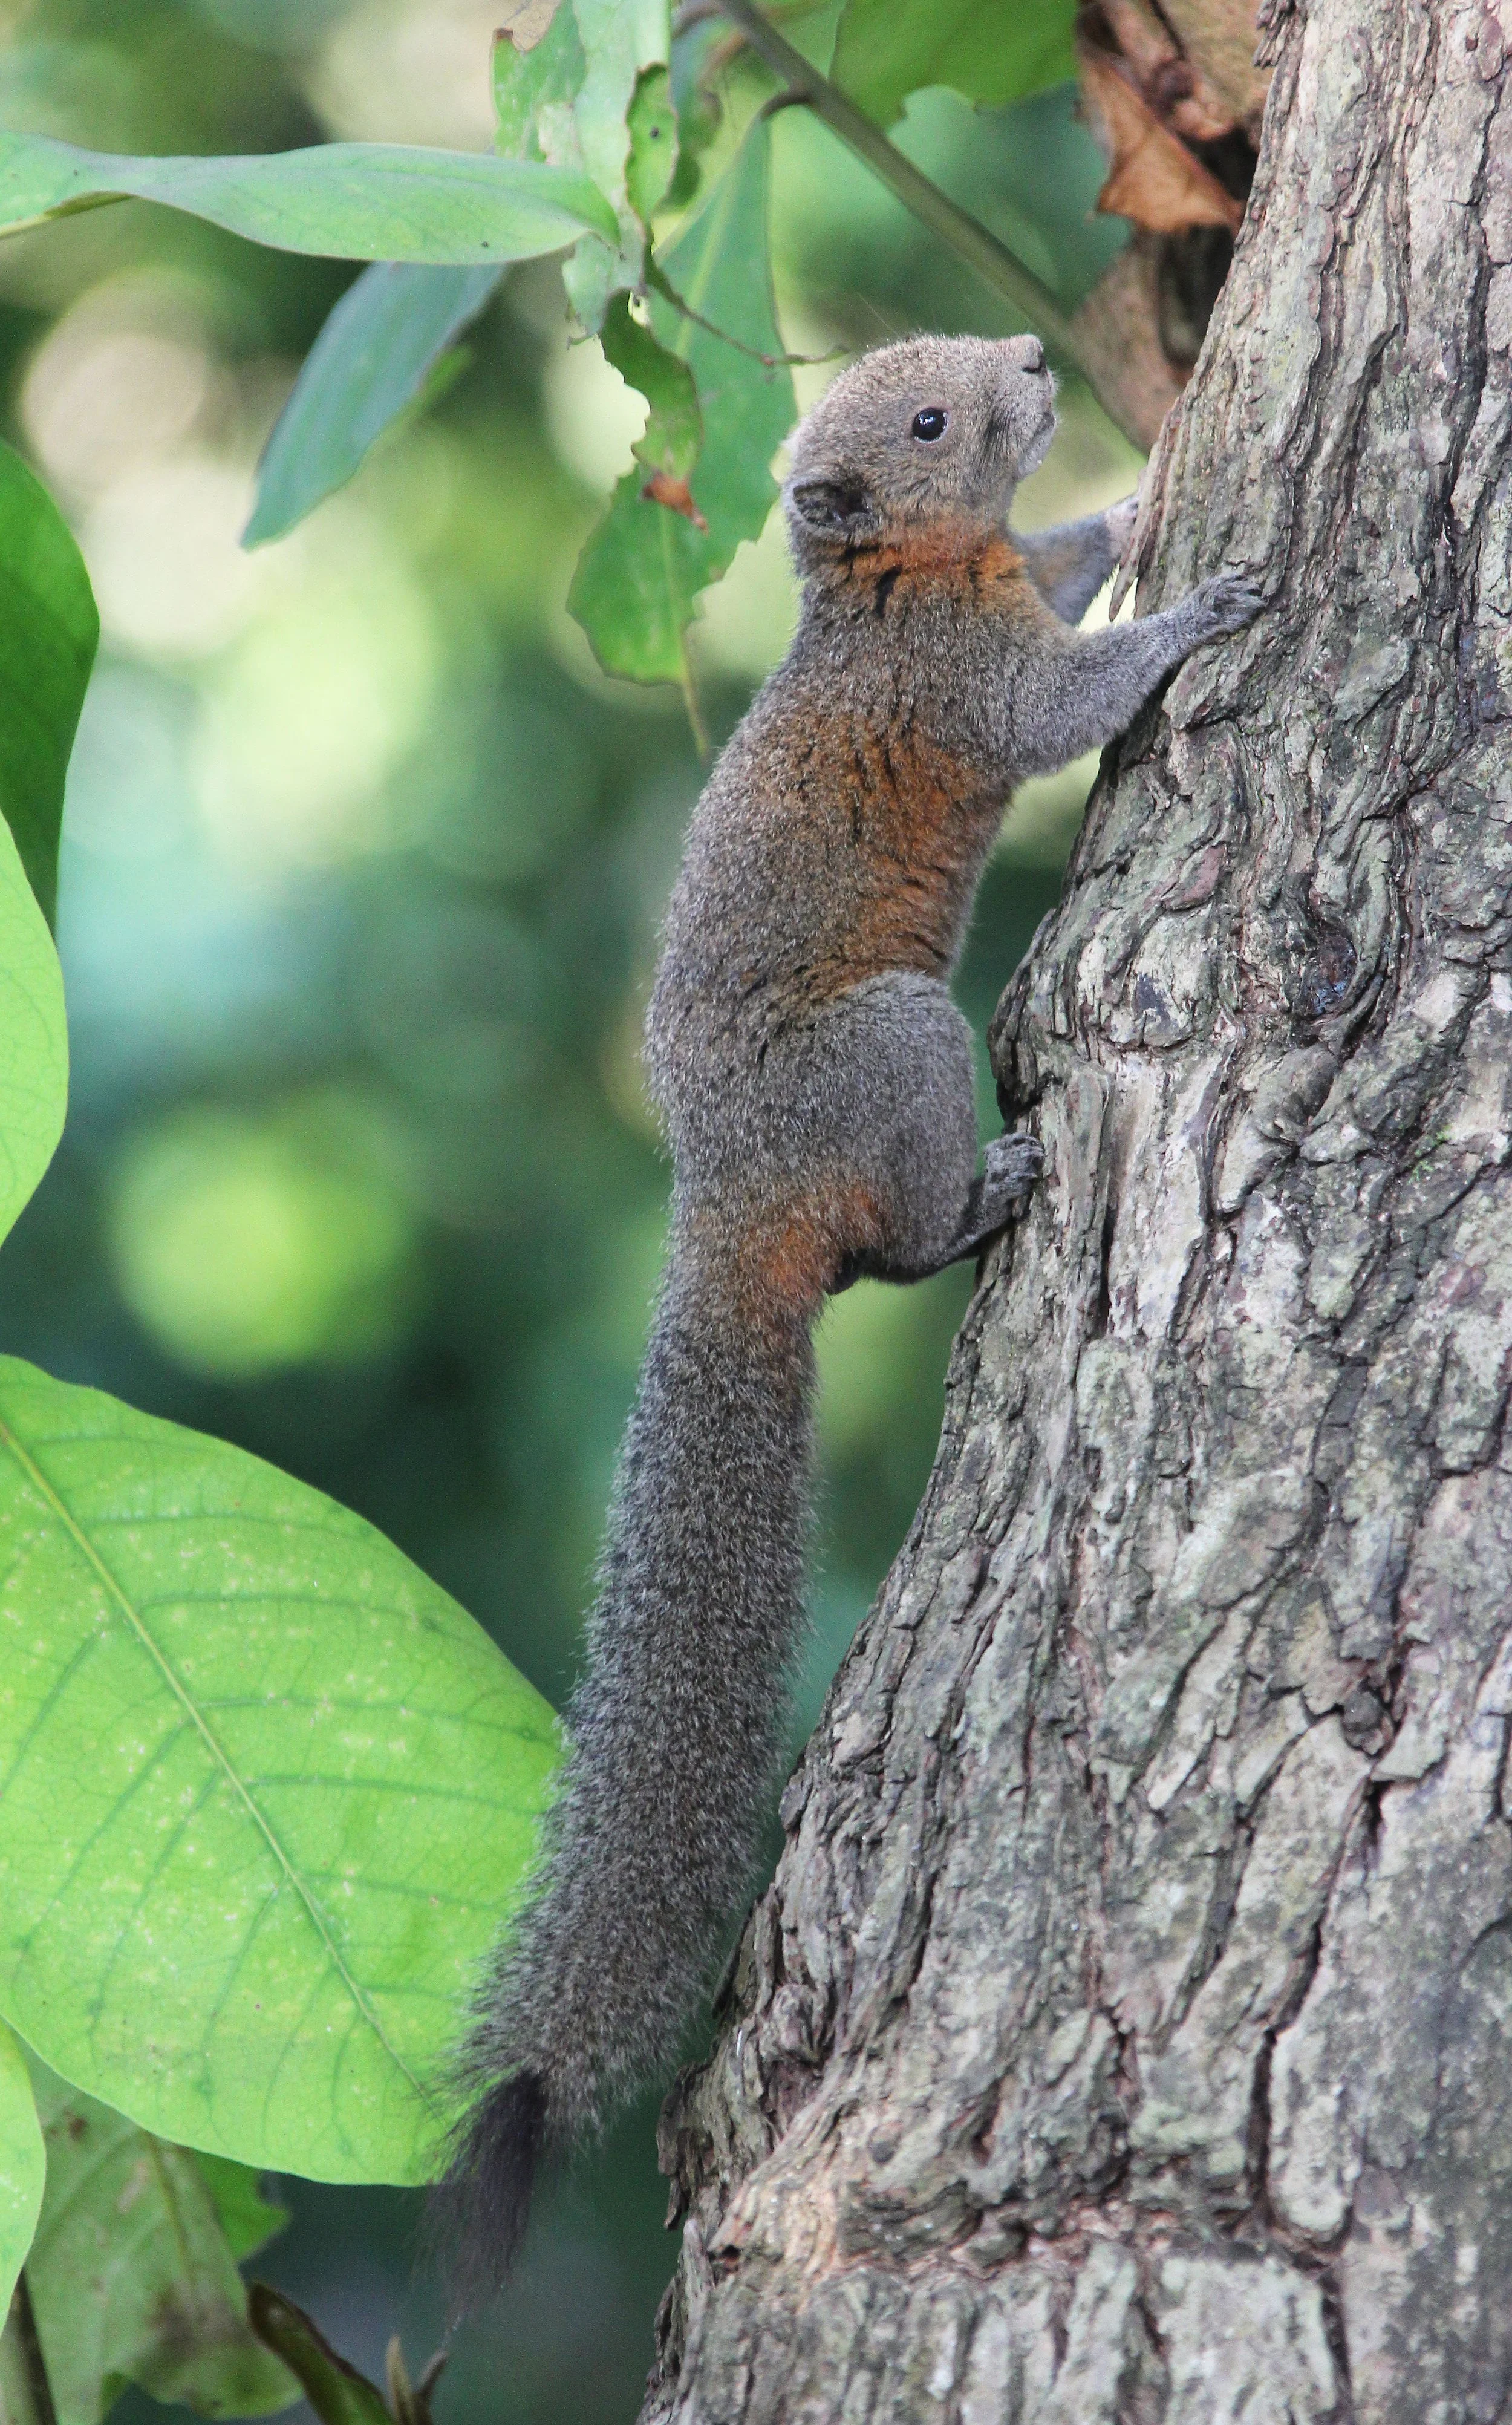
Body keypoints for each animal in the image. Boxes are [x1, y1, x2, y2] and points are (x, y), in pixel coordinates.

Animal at [439, 333, 1261, 2290]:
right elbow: (1064, 701)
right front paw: (1202, 603)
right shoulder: (968, 685)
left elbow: (1067, 557)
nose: (1035, 357)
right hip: (894, 1048)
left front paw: (1144, 474)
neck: (891, 584)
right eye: (927, 419)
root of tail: (727, 1204)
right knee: (891, 1247)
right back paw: (989, 1192)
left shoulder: (1002, 582)